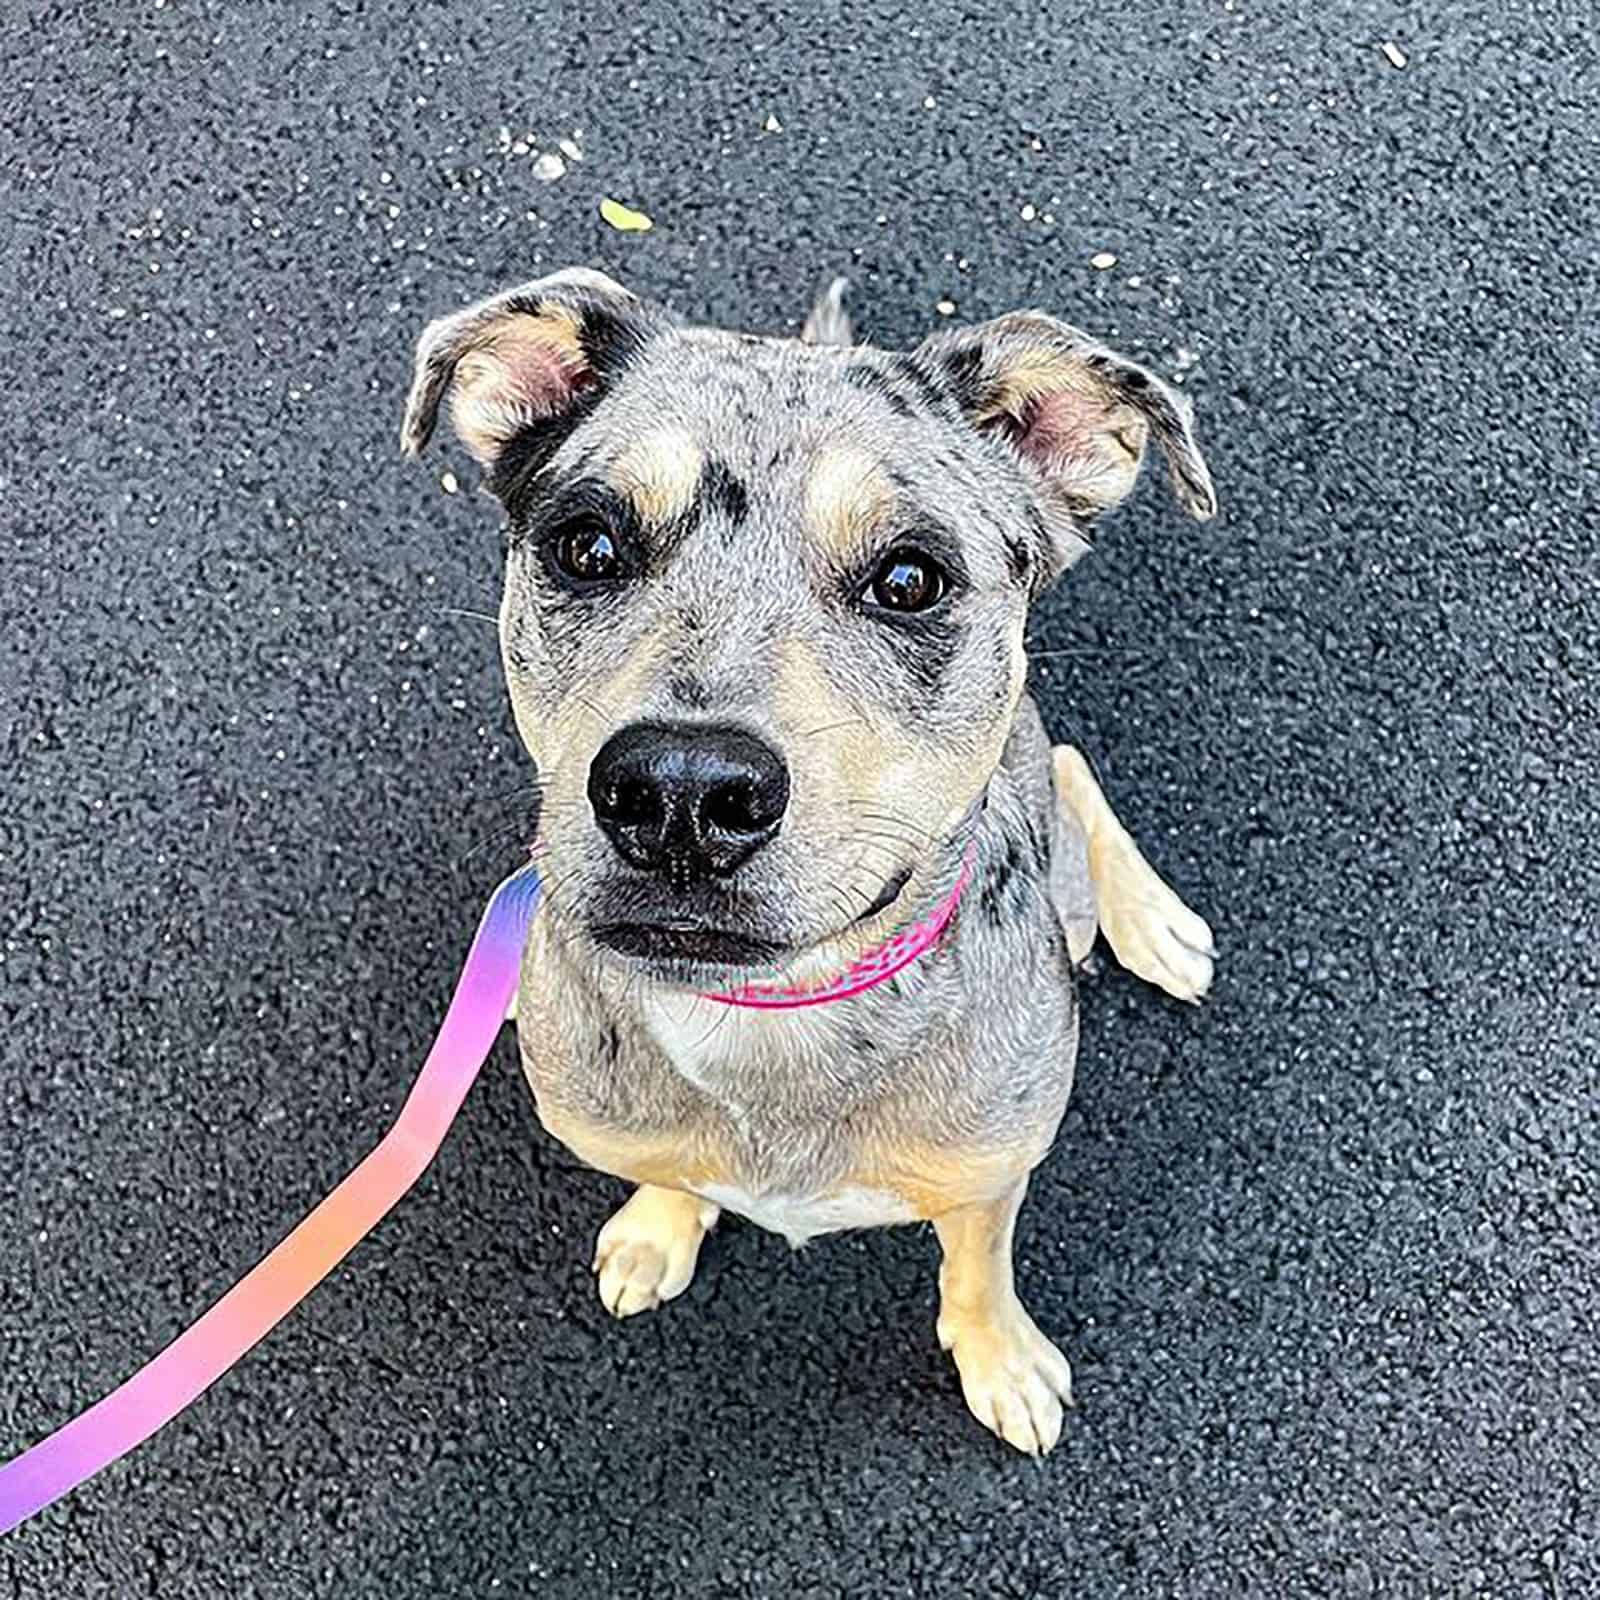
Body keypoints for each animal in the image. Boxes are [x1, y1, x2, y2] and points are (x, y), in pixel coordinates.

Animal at [396, 272, 1209, 1452]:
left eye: (909, 579)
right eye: (587, 546)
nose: (680, 792)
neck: (769, 1017)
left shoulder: (991, 1172)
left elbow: (977, 1264)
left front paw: (1001, 1358)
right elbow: (669, 1176)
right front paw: (658, 1227)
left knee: (1063, 761)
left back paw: (1155, 924)